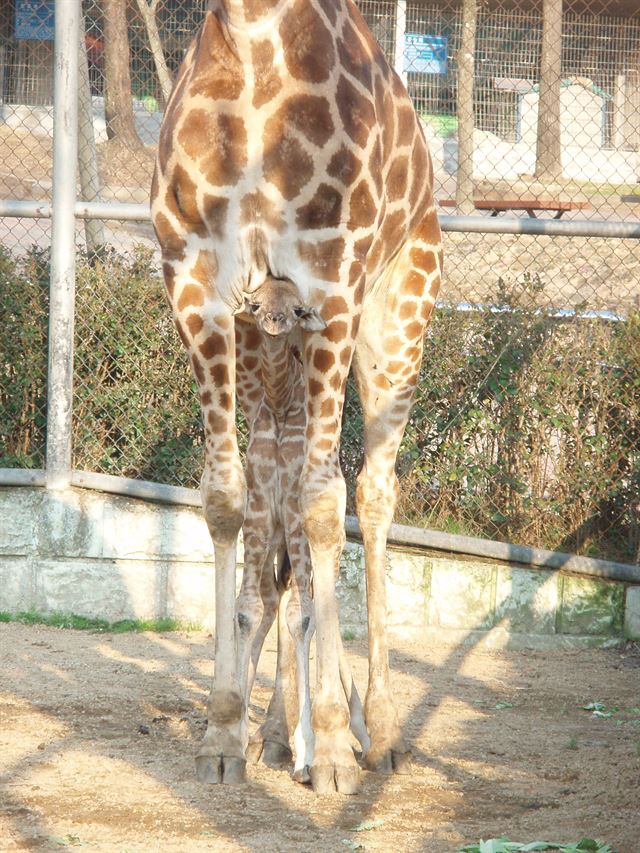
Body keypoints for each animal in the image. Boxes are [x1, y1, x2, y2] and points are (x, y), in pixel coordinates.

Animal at [152, 0, 442, 792]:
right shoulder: (198, 284)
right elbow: (227, 502)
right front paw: (225, 732)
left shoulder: (331, 287)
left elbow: (322, 507)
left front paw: (337, 745)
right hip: (269, 355)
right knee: (277, 524)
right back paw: (280, 738)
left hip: (397, 321)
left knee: (371, 492)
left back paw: (378, 729)